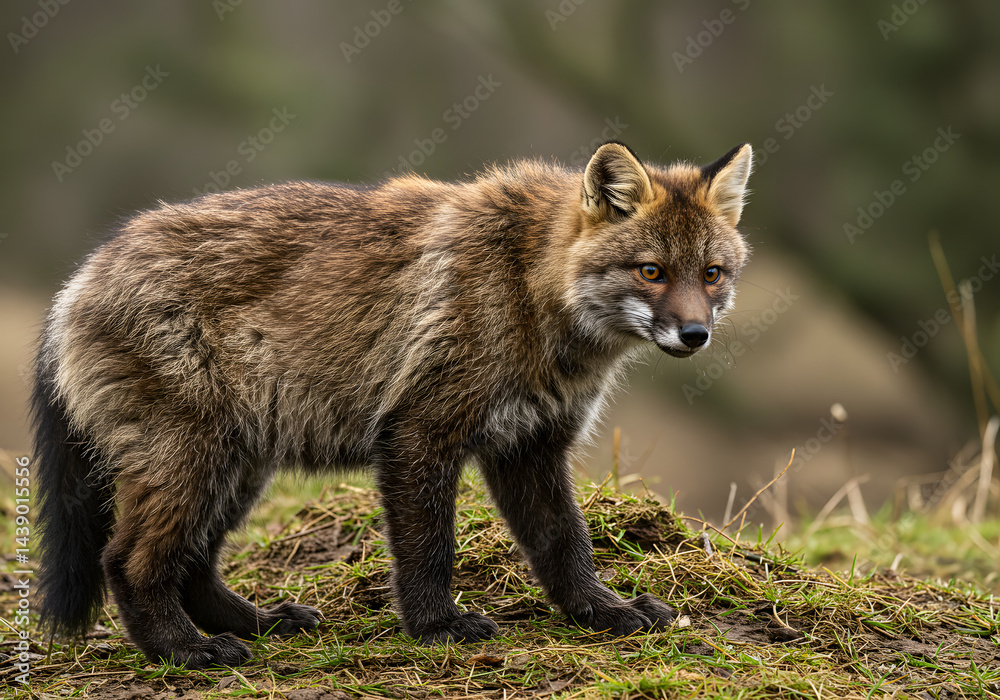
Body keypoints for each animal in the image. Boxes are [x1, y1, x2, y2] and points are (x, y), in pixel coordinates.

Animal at [32, 141, 753, 669]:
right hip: (196, 463)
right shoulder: (419, 434)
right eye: (652, 271)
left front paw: (602, 611)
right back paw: (182, 651)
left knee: (193, 567)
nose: (695, 334)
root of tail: (79, 279)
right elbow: (429, 548)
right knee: (127, 562)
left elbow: (565, 546)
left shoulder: (532, 448)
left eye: (710, 274)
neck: (527, 286)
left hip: (239, 466)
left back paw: (257, 623)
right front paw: (437, 627)